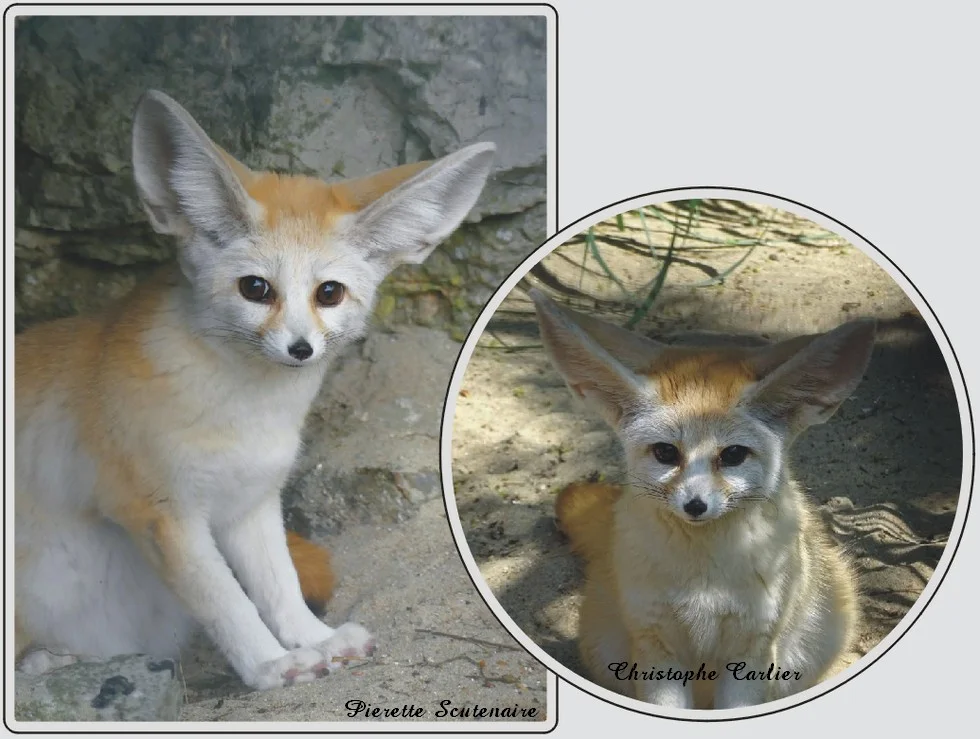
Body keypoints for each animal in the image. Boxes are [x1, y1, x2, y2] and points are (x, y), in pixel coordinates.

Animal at [14, 90, 494, 691]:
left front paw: (313, 638)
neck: (248, 412)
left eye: (329, 293)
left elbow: (278, 586)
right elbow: (228, 603)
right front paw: (269, 663)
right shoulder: (161, 515)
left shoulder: (251, 500)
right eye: (256, 289)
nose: (300, 349)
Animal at [530, 289, 873, 710]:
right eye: (665, 453)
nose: (695, 506)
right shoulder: (657, 645)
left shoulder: (752, 648)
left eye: (733, 455)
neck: (703, 584)